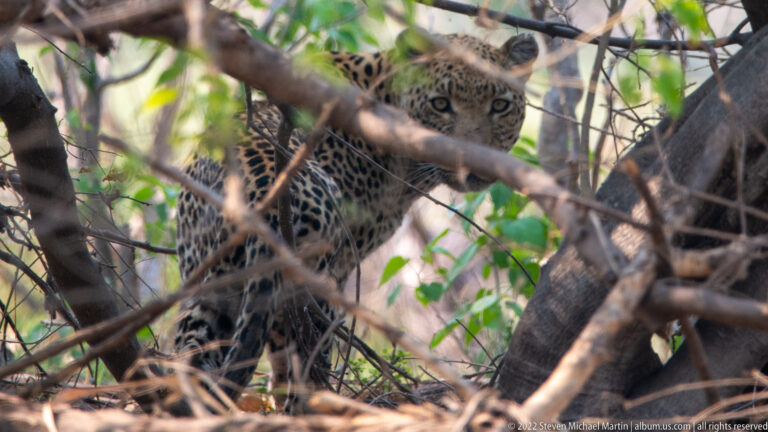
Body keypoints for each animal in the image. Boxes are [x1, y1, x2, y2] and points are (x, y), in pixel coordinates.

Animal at [173, 31, 538, 413]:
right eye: (440, 104)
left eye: (499, 105)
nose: (472, 162)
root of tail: (261, 197)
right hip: (311, 287)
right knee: (298, 368)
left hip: (209, 282)